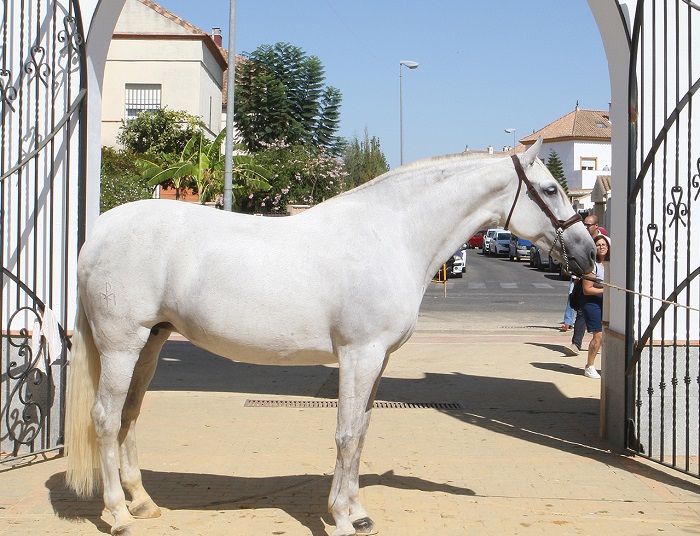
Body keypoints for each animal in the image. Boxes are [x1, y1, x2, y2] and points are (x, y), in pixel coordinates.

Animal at [65, 139, 592, 536]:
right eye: (550, 188)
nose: (590, 252)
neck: (391, 235)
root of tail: (100, 231)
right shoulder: (359, 354)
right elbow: (346, 433)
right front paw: (342, 517)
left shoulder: (377, 360)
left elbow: (361, 431)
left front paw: (357, 513)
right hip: (121, 345)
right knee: (106, 419)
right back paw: (118, 515)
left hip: (152, 341)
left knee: (130, 414)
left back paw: (143, 503)